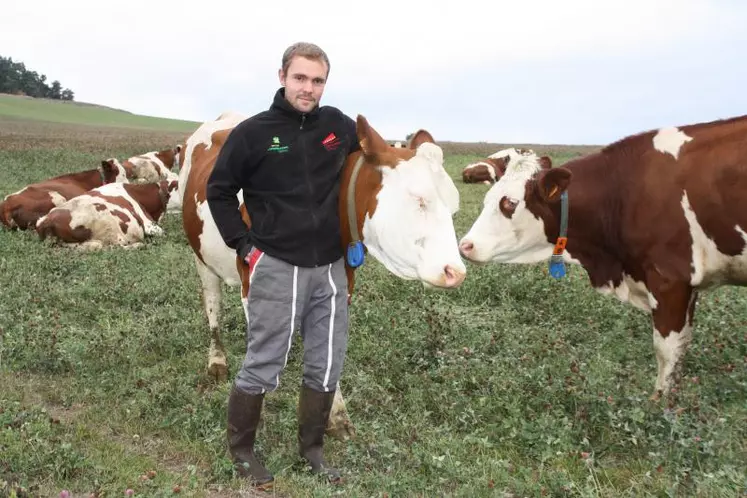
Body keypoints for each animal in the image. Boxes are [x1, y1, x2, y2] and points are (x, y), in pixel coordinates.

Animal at [178, 111, 464, 438]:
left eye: (454, 208)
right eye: (419, 199)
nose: (456, 272)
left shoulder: (342, 285)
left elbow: (328, 349)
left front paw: (336, 414)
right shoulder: (254, 282)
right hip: (201, 256)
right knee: (213, 304)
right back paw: (217, 360)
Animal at [458, 114, 744, 400]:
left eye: (510, 203)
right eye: (488, 200)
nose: (465, 245)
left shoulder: (670, 280)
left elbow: (668, 352)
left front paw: (660, 404)